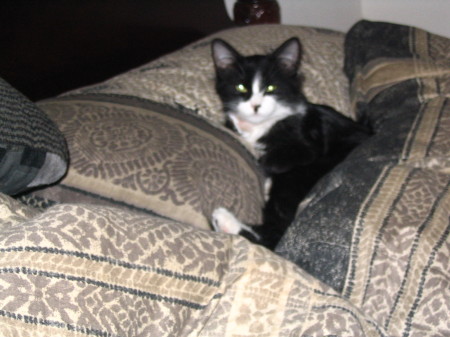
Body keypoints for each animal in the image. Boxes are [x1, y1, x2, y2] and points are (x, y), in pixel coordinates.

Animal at [209, 37, 370, 249]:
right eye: (240, 88)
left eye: (271, 88)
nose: (256, 106)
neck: (260, 126)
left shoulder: (306, 146)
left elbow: (270, 160)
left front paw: (264, 170)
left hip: (298, 175)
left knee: (276, 232)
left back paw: (225, 220)